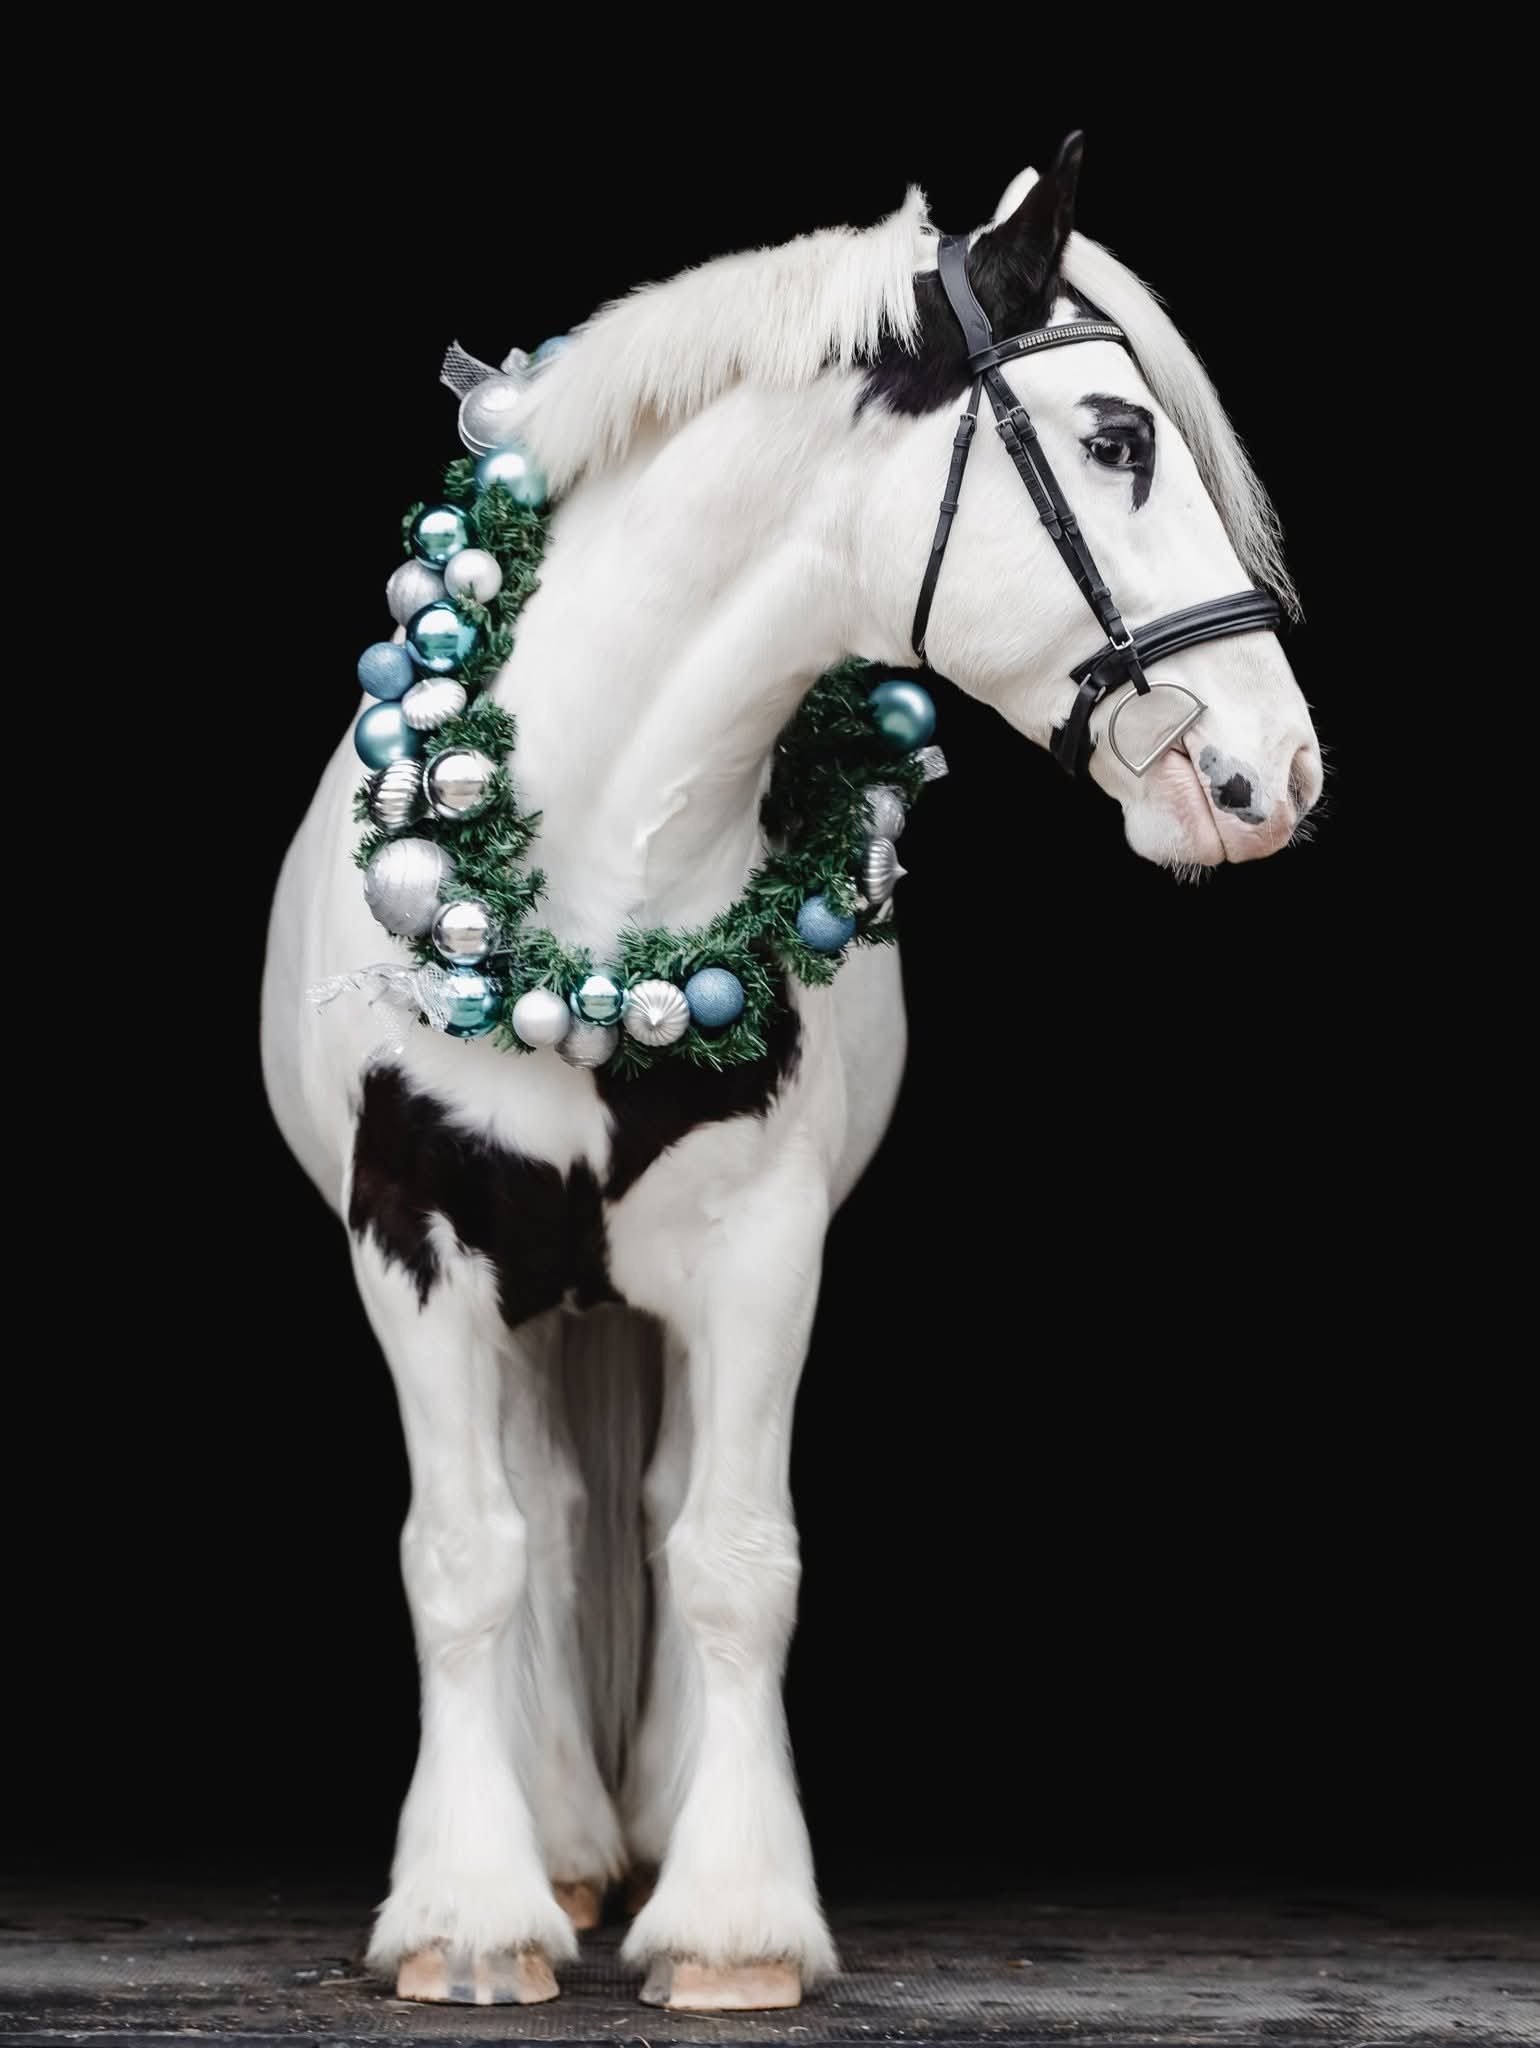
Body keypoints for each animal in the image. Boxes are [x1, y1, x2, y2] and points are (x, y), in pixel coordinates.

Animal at [260, 136, 1322, 2014]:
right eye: (1120, 439)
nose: (1275, 771)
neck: (591, 887)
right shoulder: (413, 1242)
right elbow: (464, 1561)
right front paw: (467, 1916)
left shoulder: (760, 1249)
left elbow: (737, 1562)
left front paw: (734, 1923)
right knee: (542, 1522)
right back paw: (559, 1846)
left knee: (653, 1512)